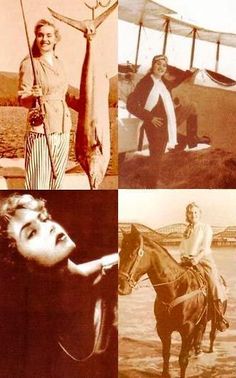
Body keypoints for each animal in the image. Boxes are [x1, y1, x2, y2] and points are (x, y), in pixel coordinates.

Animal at [119, 226, 226, 376]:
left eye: (133, 254)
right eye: (120, 253)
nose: (120, 286)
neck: (175, 289)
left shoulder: (187, 329)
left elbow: (183, 359)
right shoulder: (163, 329)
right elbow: (166, 354)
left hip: (214, 321)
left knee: (212, 335)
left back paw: (209, 349)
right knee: (199, 334)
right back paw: (197, 351)